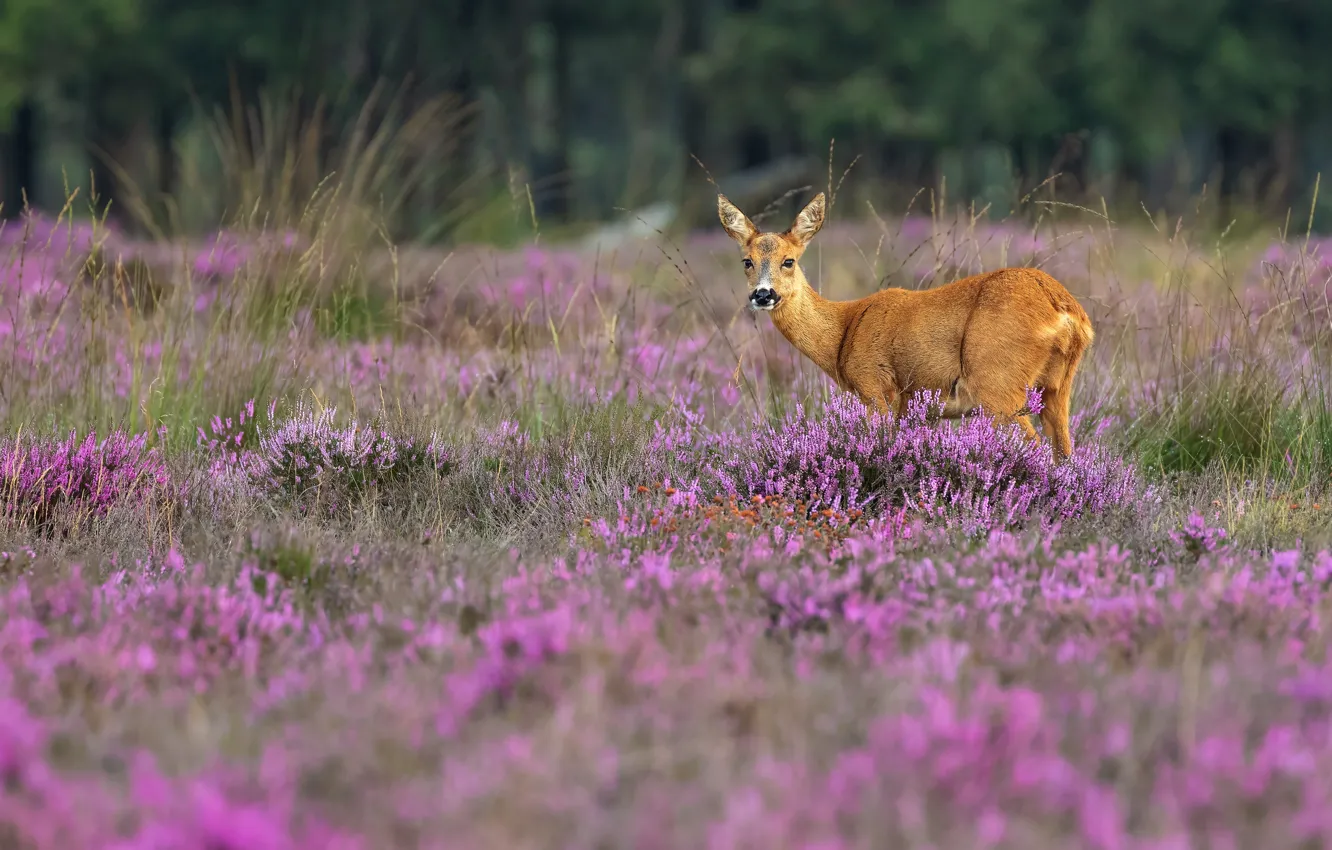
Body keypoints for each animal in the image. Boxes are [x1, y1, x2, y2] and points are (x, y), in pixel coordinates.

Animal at [719, 191, 1092, 463]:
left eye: (789, 261)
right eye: (747, 261)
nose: (763, 294)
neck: (844, 331)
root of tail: (1067, 311)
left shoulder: (876, 388)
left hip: (997, 383)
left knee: (1035, 446)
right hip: (1058, 387)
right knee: (1064, 452)